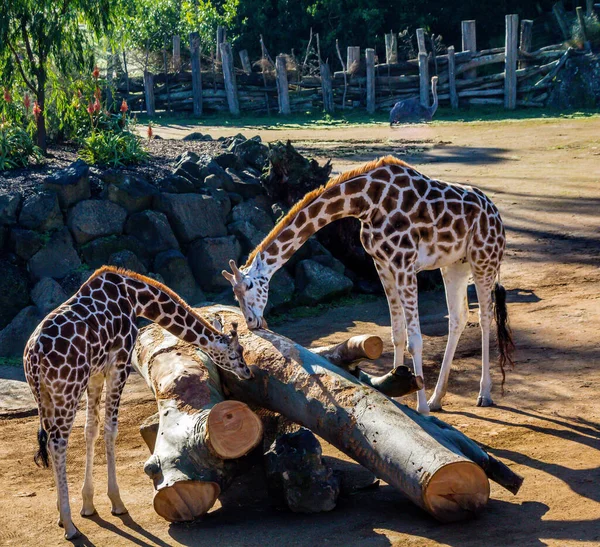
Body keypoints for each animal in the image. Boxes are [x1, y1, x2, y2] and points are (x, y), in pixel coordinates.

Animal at [25, 266, 251, 540]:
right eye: (235, 353)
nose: (247, 372)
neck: (135, 296)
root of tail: (34, 356)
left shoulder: (96, 373)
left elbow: (92, 429)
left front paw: (88, 504)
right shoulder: (119, 363)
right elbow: (111, 429)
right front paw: (116, 503)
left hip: (45, 395)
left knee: (51, 439)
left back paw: (62, 515)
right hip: (67, 390)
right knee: (58, 443)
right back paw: (69, 526)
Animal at [225, 156, 516, 414]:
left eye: (248, 288)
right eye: (234, 294)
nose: (252, 323)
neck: (365, 202)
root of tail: (497, 215)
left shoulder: (404, 263)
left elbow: (415, 340)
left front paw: (420, 407)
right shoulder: (383, 265)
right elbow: (397, 334)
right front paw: (398, 388)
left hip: (484, 259)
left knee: (484, 317)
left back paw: (484, 394)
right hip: (455, 265)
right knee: (458, 317)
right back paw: (437, 398)